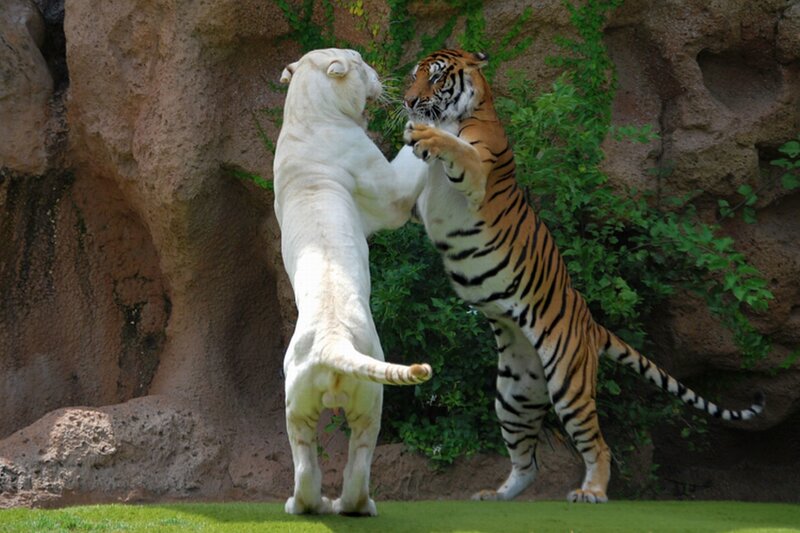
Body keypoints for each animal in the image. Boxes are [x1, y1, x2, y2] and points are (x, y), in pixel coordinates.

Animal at [274, 48, 432, 516]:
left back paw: (309, 505)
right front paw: (424, 125)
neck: (307, 112)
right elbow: (404, 175)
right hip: (370, 401)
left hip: (296, 402)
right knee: (360, 457)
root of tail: (332, 345)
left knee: (305, 464)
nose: (376, 72)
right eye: (360, 62)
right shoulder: (385, 187)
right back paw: (355, 505)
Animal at [399, 48, 764, 503]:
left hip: (568, 382)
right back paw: (497, 496)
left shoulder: (478, 168)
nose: (409, 102)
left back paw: (591, 492)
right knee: (529, 464)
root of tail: (591, 323)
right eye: (413, 77)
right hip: (514, 395)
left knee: (598, 446)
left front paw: (424, 135)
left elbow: (455, 147)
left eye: (435, 79)